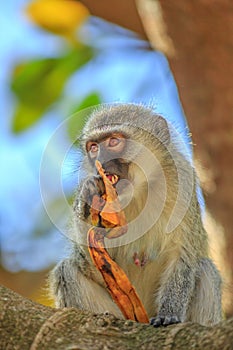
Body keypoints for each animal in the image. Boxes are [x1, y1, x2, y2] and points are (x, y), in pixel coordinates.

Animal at [49, 102, 222, 326]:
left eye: (114, 141)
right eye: (94, 148)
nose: (101, 161)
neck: (141, 190)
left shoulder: (182, 180)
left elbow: (183, 255)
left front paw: (168, 314)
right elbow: (96, 267)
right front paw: (88, 196)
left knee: (206, 270)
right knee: (66, 269)